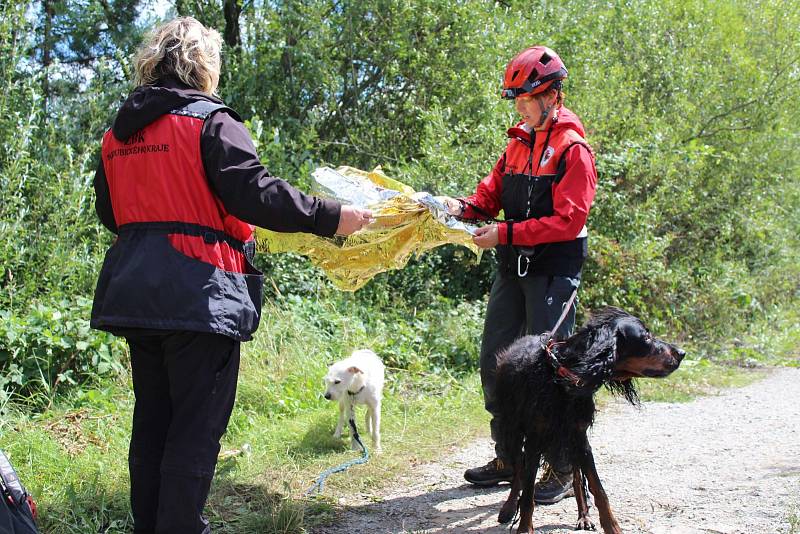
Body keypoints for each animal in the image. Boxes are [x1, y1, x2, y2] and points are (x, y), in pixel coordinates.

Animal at [496, 308, 684, 534]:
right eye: (646, 337)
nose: (681, 353)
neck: (562, 379)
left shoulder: (579, 437)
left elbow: (598, 489)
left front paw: (612, 527)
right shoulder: (535, 440)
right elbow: (527, 494)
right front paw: (524, 528)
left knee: (576, 477)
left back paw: (583, 516)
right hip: (512, 429)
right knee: (518, 473)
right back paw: (508, 507)